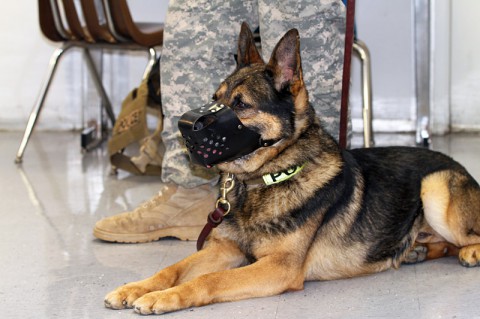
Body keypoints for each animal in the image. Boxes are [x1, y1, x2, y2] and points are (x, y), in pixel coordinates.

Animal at [105, 23, 480, 316]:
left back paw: (467, 251)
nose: (184, 126)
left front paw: (165, 297)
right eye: (216, 97)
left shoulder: (277, 268)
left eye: (241, 104)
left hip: (434, 188)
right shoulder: (224, 250)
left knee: (469, 235)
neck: (263, 181)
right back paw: (416, 249)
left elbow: (209, 279)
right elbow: (173, 268)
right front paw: (137, 287)